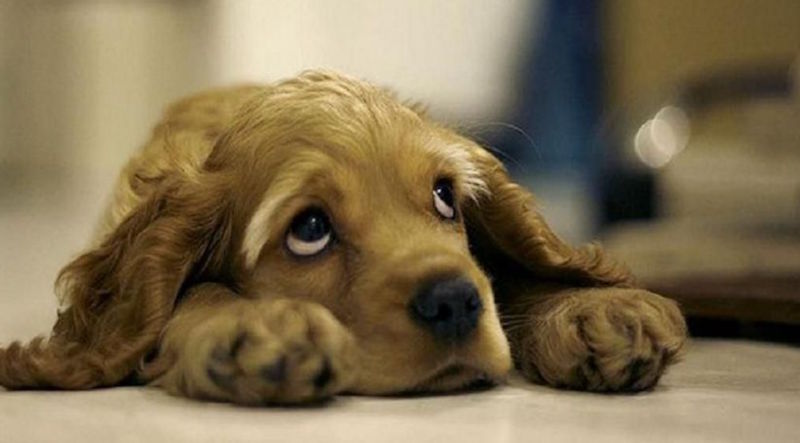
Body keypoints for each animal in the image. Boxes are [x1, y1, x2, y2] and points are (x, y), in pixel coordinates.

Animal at [0, 70, 688, 406]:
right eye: (310, 230)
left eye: (445, 197)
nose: (452, 301)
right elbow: (191, 296)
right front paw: (259, 325)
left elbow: (508, 274)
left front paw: (597, 312)